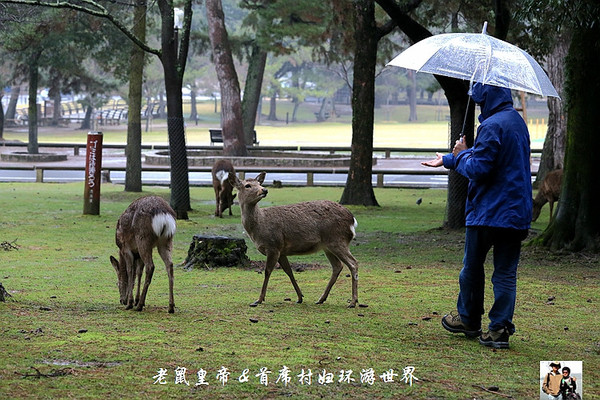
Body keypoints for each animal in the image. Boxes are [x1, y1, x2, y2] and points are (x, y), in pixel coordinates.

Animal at [230, 171, 360, 306]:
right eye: (248, 185)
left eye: (259, 183)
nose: (264, 190)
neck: (259, 227)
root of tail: (352, 220)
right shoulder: (281, 250)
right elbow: (289, 271)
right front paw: (300, 297)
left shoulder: (273, 245)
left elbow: (267, 271)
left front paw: (259, 299)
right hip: (328, 246)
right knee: (338, 266)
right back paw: (321, 299)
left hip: (337, 240)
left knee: (353, 263)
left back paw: (353, 301)